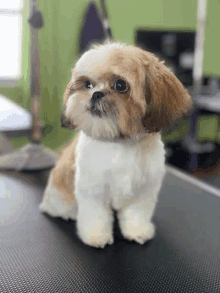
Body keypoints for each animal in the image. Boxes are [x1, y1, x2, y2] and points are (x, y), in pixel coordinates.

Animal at [40, 41, 192, 246]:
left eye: (120, 85)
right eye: (87, 84)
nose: (95, 94)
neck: (120, 143)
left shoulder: (143, 190)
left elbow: (137, 213)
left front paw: (138, 231)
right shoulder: (93, 189)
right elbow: (95, 215)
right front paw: (95, 236)